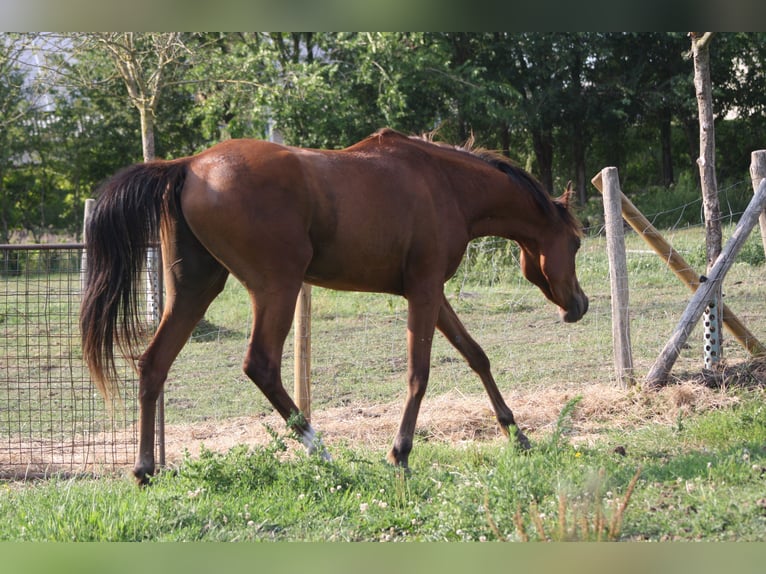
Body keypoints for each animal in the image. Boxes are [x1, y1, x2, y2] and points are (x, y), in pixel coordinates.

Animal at [80, 128, 588, 485]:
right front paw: (400, 453)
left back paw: (145, 470)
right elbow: (419, 374)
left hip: (194, 291)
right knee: (260, 366)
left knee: (153, 364)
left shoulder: (432, 294)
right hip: (277, 290)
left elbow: (475, 355)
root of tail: (189, 166)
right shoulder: (424, 293)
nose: (580, 305)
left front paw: (517, 435)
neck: (445, 184)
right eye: (577, 243)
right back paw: (321, 452)